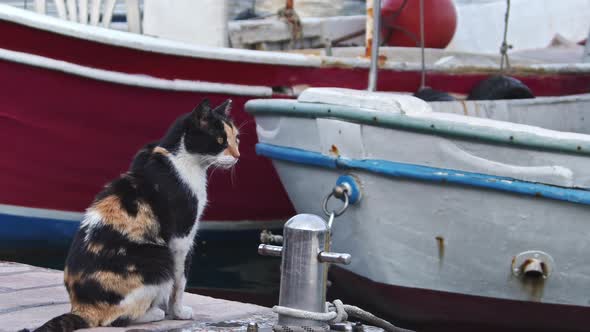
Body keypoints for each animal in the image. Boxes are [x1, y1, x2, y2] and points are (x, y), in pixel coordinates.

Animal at [32, 98, 239, 332]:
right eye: (220, 140)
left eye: (236, 139)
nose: (238, 156)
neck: (178, 159)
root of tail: (82, 307)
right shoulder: (181, 239)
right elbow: (179, 284)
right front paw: (177, 313)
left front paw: (167, 308)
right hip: (160, 259)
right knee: (115, 319)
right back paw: (154, 313)